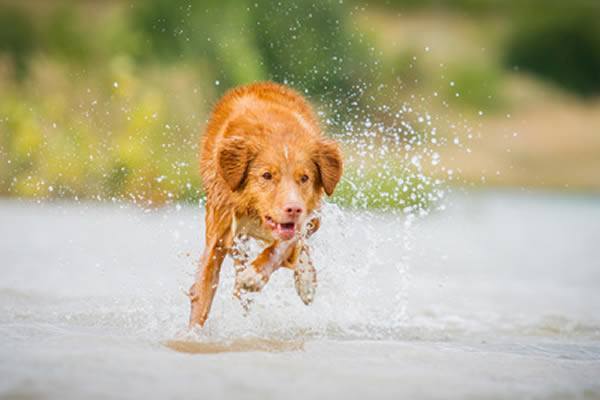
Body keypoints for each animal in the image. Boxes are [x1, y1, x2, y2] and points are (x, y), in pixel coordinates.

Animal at [190, 82, 344, 328]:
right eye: (267, 175)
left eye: (305, 178)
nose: (293, 208)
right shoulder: (219, 230)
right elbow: (203, 289)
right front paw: (191, 333)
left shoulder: (301, 221)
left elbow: (280, 248)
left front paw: (255, 275)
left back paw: (305, 280)